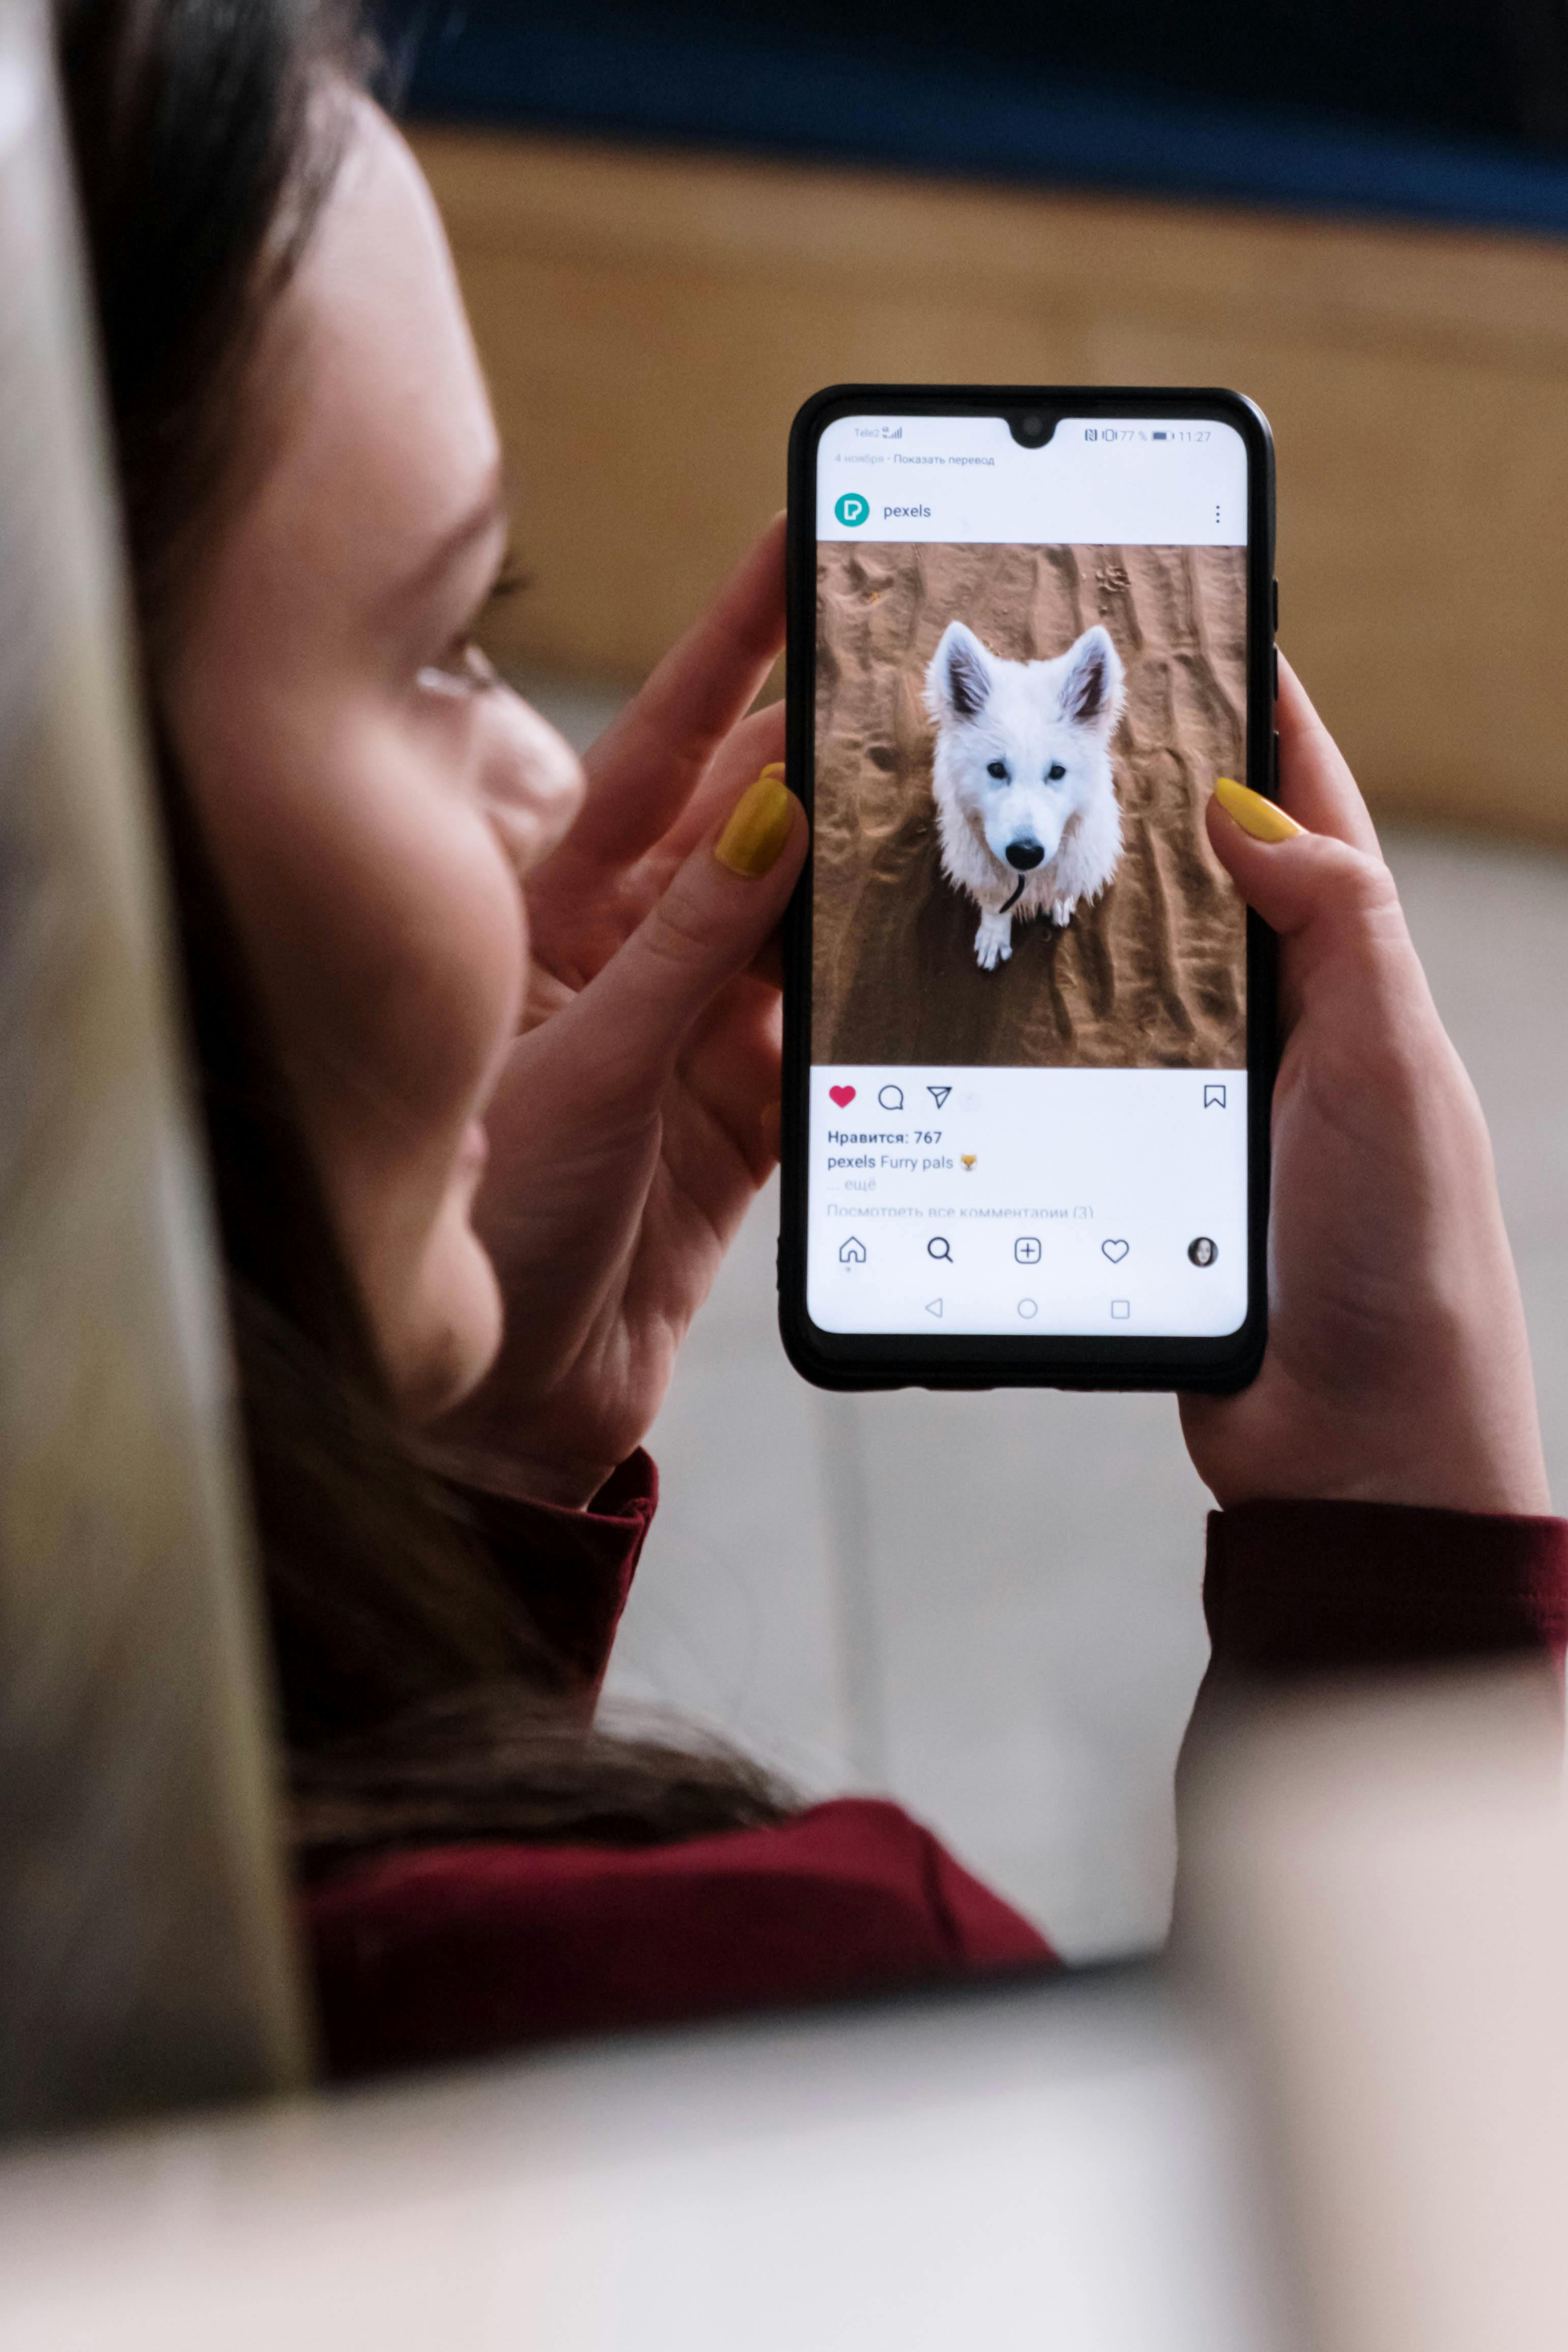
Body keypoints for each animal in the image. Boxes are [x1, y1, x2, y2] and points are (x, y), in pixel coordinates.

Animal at [926, 621, 1124, 969]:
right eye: (996, 769)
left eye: (1057, 772)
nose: (1025, 853)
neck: (1027, 876)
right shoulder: (981, 869)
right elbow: (995, 904)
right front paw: (994, 935)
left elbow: (1063, 886)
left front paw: (1059, 902)